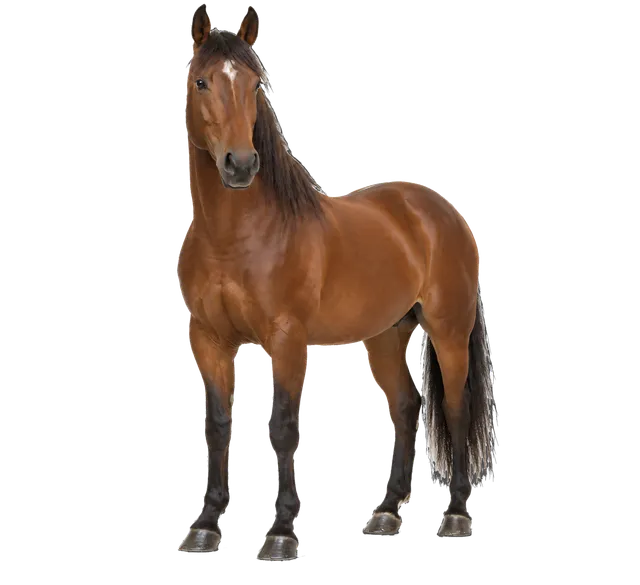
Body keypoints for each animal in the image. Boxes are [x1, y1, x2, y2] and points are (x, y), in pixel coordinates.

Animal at [176, 4, 496, 560]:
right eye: (201, 82)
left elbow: (283, 427)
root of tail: (440, 211)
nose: (241, 164)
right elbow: (216, 426)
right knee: (408, 407)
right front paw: (207, 525)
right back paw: (386, 513)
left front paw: (281, 534)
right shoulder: (209, 338)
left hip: (449, 332)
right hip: (386, 335)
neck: (236, 236)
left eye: (256, 85)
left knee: (454, 411)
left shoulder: (286, 339)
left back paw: (456, 514)